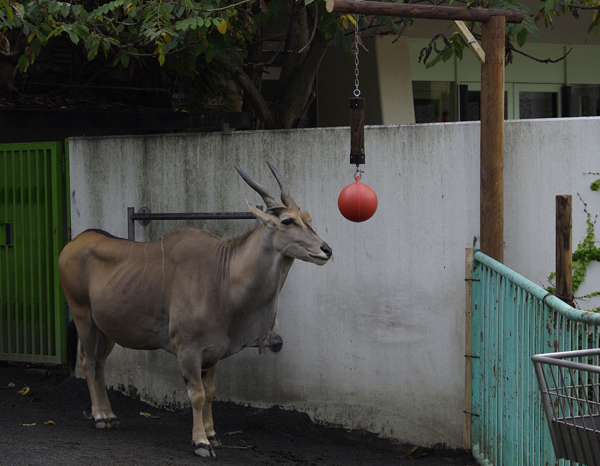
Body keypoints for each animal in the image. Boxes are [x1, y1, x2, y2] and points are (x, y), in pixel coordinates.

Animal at [58, 162, 332, 456]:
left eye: (309, 218)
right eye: (287, 221)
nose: (326, 250)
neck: (223, 275)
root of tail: (74, 242)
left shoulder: (214, 353)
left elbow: (210, 393)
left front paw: (212, 434)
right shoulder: (188, 350)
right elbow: (197, 395)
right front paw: (201, 441)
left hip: (106, 328)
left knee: (99, 363)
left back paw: (110, 415)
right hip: (83, 316)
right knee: (87, 361)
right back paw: (99, 416)